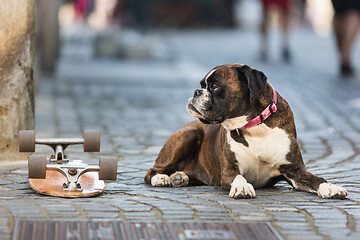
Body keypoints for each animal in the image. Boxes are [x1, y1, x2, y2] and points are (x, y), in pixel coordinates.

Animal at [144, 63, 348, 199]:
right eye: (202, 85)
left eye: (214, 86)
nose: (196, 92)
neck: (255, 127)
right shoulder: (229, 171)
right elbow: (239, 177)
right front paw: (242, 187)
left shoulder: (295, 171)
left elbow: (316, 179)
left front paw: (331, 187)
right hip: (190, 134)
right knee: (151, 171)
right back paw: (162, 178)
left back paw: (180, 176)